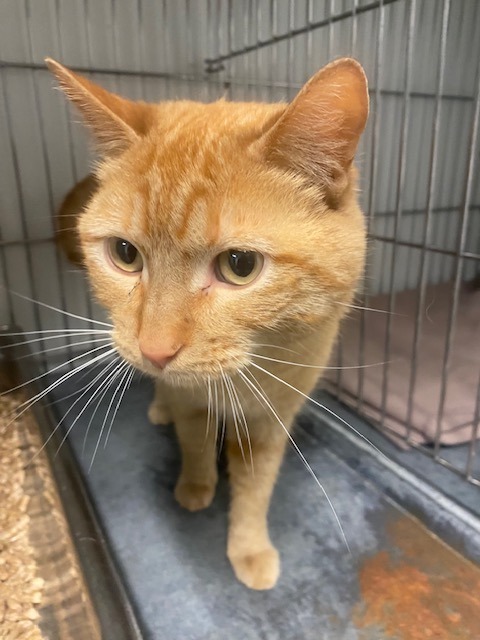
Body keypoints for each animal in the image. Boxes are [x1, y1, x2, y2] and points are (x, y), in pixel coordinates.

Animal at [46, 58, 368, 592]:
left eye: (240, 265)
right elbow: (194, 443)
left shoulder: (270, 421)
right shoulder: (189, 400)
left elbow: (256, 488)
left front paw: (249, 547)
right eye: (125, 254)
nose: (154, 350)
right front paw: (195, 487)